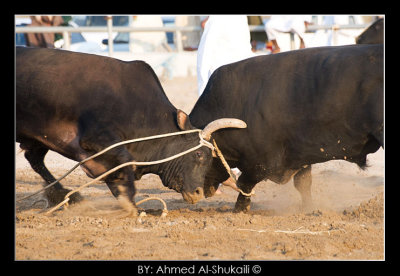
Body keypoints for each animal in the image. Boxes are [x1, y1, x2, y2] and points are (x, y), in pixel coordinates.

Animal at [16, 46, 244, 212]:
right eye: (198, 154)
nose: (198, 193)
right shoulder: (96, 139)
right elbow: (124, 161)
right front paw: (132, 205)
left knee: (34, 159)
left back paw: (64, 196)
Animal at [189, 44, 382, 212]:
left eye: (199, 155)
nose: (192, 193)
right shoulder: (301, 154)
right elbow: (303, 183)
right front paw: (308, 208)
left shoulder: (260, 163)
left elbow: (244, 183)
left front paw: (239, 210)